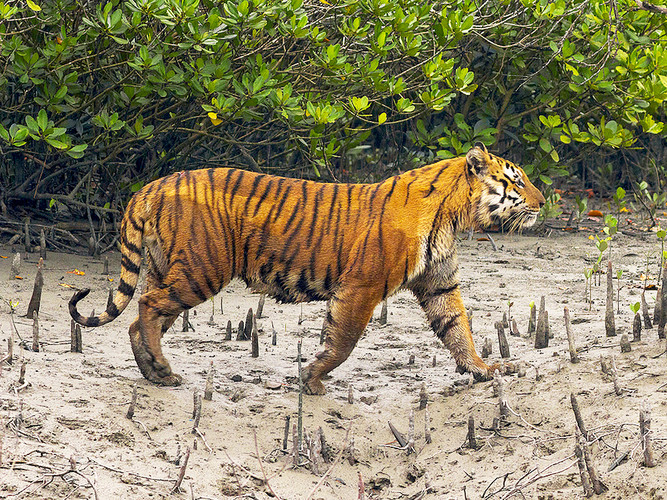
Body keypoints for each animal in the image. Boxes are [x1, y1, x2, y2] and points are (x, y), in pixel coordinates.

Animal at [70, 143, 544, 392]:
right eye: (516, 180)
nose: (542, 203)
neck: (453, 216)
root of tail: (149, 186)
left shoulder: (439, 285)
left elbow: (458, 329)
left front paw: (484, 370)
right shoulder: (361, 287)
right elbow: (344, 340)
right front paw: (313, 379)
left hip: (166, 268)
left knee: (140, 318)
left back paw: (153, 372)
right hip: (201, 270)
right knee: (147, 307)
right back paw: (163, 371)